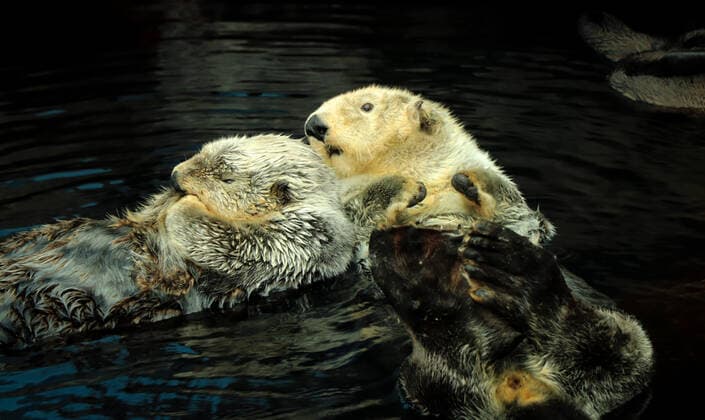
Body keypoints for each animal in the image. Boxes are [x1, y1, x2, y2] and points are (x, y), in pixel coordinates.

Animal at [0, 134, 424, 349]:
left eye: (226, 177)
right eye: (200, 154)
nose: (175, 175)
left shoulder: (306, 238)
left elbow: (241, 245)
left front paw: (184, 207)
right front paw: (407, 185)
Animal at [304, 85, 555, 246]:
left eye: (367, 106)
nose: (314, 125)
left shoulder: (522, 221)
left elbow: (521, 215)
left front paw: (473, 180)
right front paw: (401, 187)